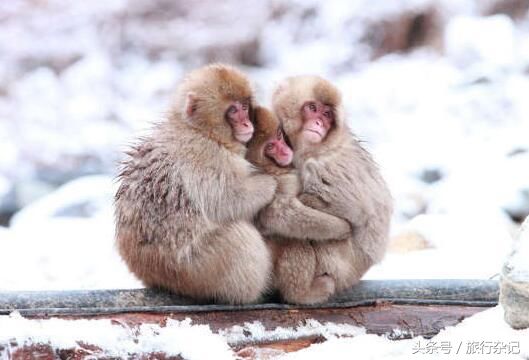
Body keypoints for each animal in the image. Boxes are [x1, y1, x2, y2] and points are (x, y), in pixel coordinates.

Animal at [114, 64, 278, 304]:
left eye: (244, 106)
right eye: (233, 111)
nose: (246, 123)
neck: (199, 131)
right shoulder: (206, 156)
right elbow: (228, 201)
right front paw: (270, 184)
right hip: (198, 268)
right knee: (241, 240)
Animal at [245, 106, 352, 304]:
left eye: (279, 135)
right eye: (270, 147)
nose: (284, 151)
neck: (271, 166)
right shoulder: (278, 182)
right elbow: (279, 212)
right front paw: (342, 228)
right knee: (293, 240)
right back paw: (302, 294)